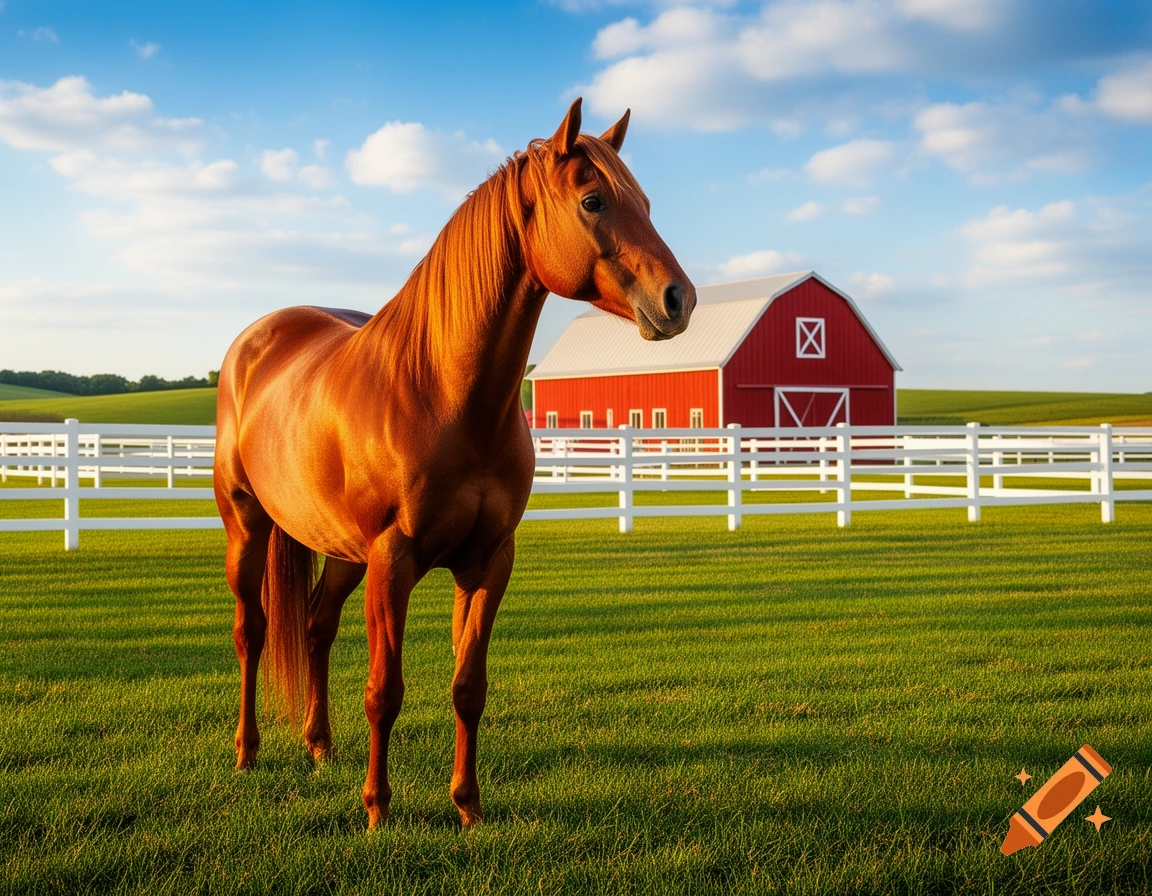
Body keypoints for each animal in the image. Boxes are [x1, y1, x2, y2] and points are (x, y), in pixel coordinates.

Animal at [213, 98, 695, 829]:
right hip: (249, 527)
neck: (442, 394)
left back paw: (320, 746)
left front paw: (467, 806)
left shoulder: (488, 561)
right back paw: (247, 753)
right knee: (253, 632)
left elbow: (468, 685)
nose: (679, 300)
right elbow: (385, 689)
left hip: (344, 552)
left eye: (644, 202)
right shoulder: (394, 561)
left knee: (318, 628)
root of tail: (256, 339)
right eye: (593, 200)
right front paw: (378, 809)